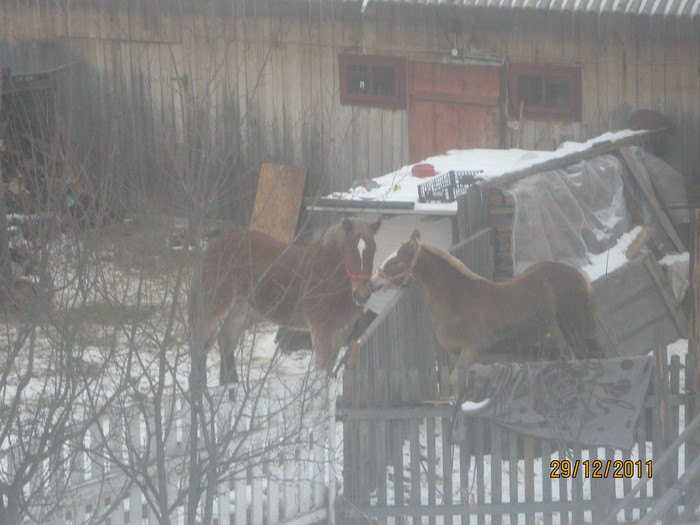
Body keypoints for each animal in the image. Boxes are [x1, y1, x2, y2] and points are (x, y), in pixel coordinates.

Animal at [189, 215, 380, 382]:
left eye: (373, 250)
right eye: (349, 250)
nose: (362, 295)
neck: (327, 272)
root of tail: (209, 250)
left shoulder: (341, 332)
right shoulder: (321, 331)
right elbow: (321, 375)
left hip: (239, 309)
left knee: (225, 345)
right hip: (213, 310)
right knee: (199, 350)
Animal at [370, 231, 604, 386]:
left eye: (395, 261)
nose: (373, 283)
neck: (456, 299)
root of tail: (580, 275)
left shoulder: (473, 350)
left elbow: (456, 382)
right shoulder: (455, 353)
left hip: (574, 332)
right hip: (559, 332)